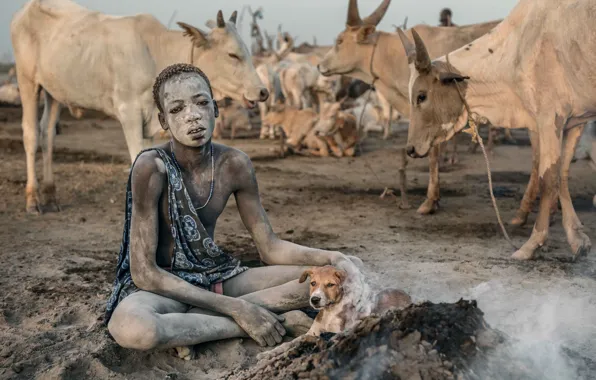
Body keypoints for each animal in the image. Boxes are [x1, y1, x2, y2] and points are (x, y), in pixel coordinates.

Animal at [10, 0, 268, 214]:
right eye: (232, 55)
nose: (263, 91)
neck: (154, 53)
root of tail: (26, 9)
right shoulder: (129, 112)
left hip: (54, 92)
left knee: (47, 134)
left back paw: (50, 196)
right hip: (28, 81)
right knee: (31, 134)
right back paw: (33, 199)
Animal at [396, 0, 596, 262]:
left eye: (421, 96)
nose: (410, 148)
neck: (518, 50)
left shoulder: (550, 117)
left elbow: (549, 180)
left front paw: (532, 244)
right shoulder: (575, 121)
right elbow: (562, 176)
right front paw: (577, 238)